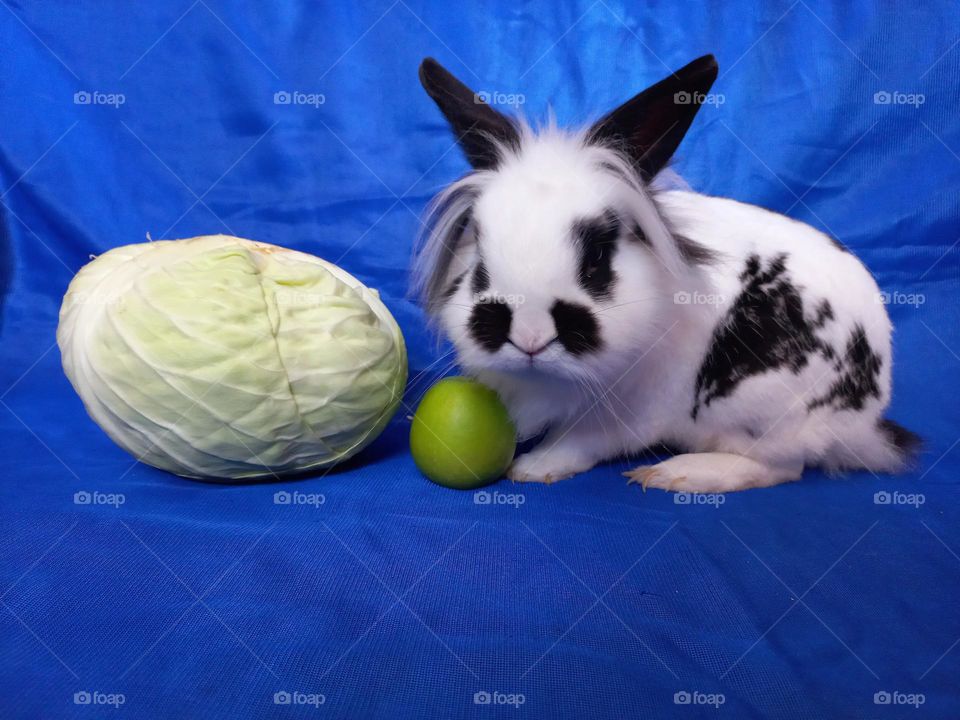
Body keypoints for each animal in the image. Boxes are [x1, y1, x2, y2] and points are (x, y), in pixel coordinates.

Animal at [413, 54, 919, 492]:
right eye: (479, 257)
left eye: (597, 258)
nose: (530, 338)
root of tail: (868, 417)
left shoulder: (635, 409)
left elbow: (584, 440)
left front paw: (535, 467)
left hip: (764, 406)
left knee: (782, 466)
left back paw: (681, 473)